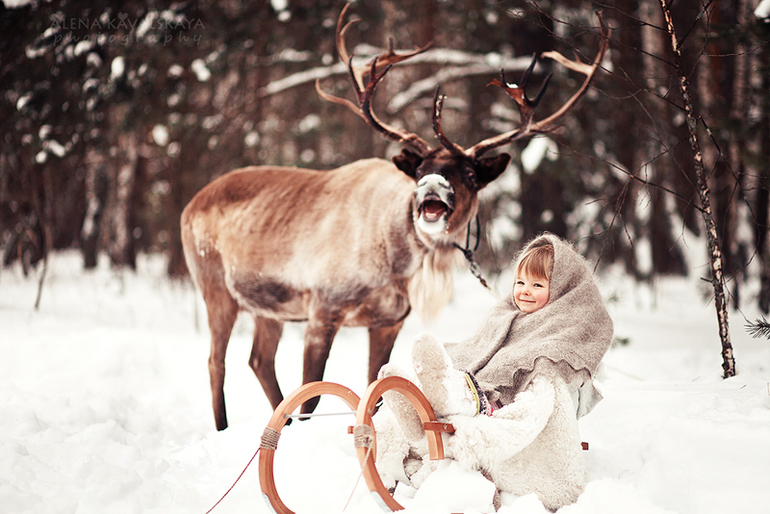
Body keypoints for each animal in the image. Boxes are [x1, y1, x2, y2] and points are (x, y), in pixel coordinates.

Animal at [181, 4, 609, 431]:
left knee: (258, 359)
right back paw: (224, 426)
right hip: (213, 284)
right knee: (215, 360)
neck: (393, 260)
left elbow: (373, 385)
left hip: (268, 307)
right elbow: (312, 395)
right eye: (420, 170)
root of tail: (189, 204)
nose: (431, 188)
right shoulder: (323, 308)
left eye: (471, 175)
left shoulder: (389, 320)